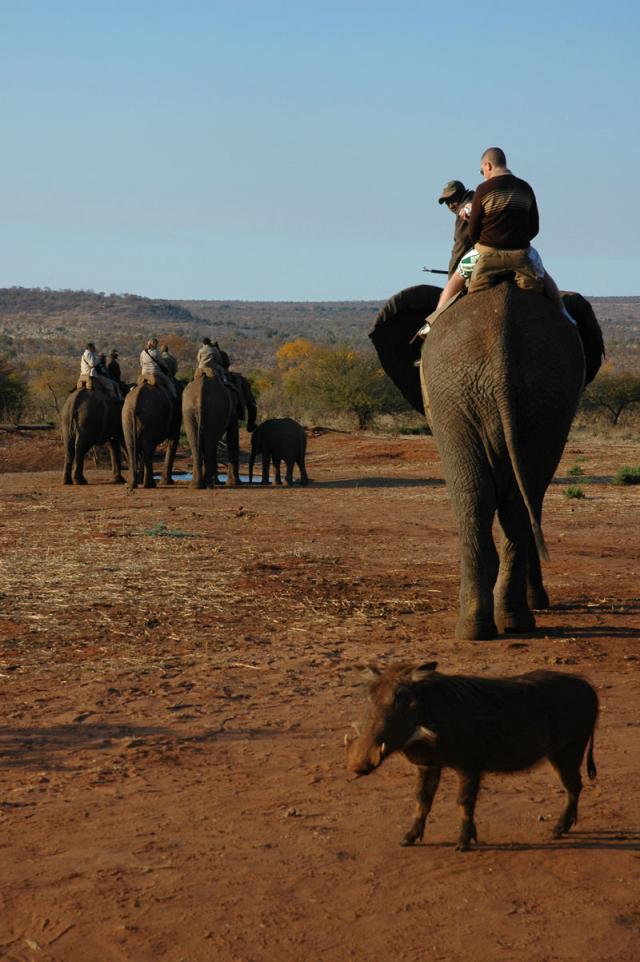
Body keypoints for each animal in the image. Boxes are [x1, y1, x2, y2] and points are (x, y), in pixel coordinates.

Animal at [371, 282, 604, 641]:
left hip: (457, 396)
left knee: (480, 494)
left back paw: (484, 625)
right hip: (537, 397)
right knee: (510, 498)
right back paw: (502, 623)